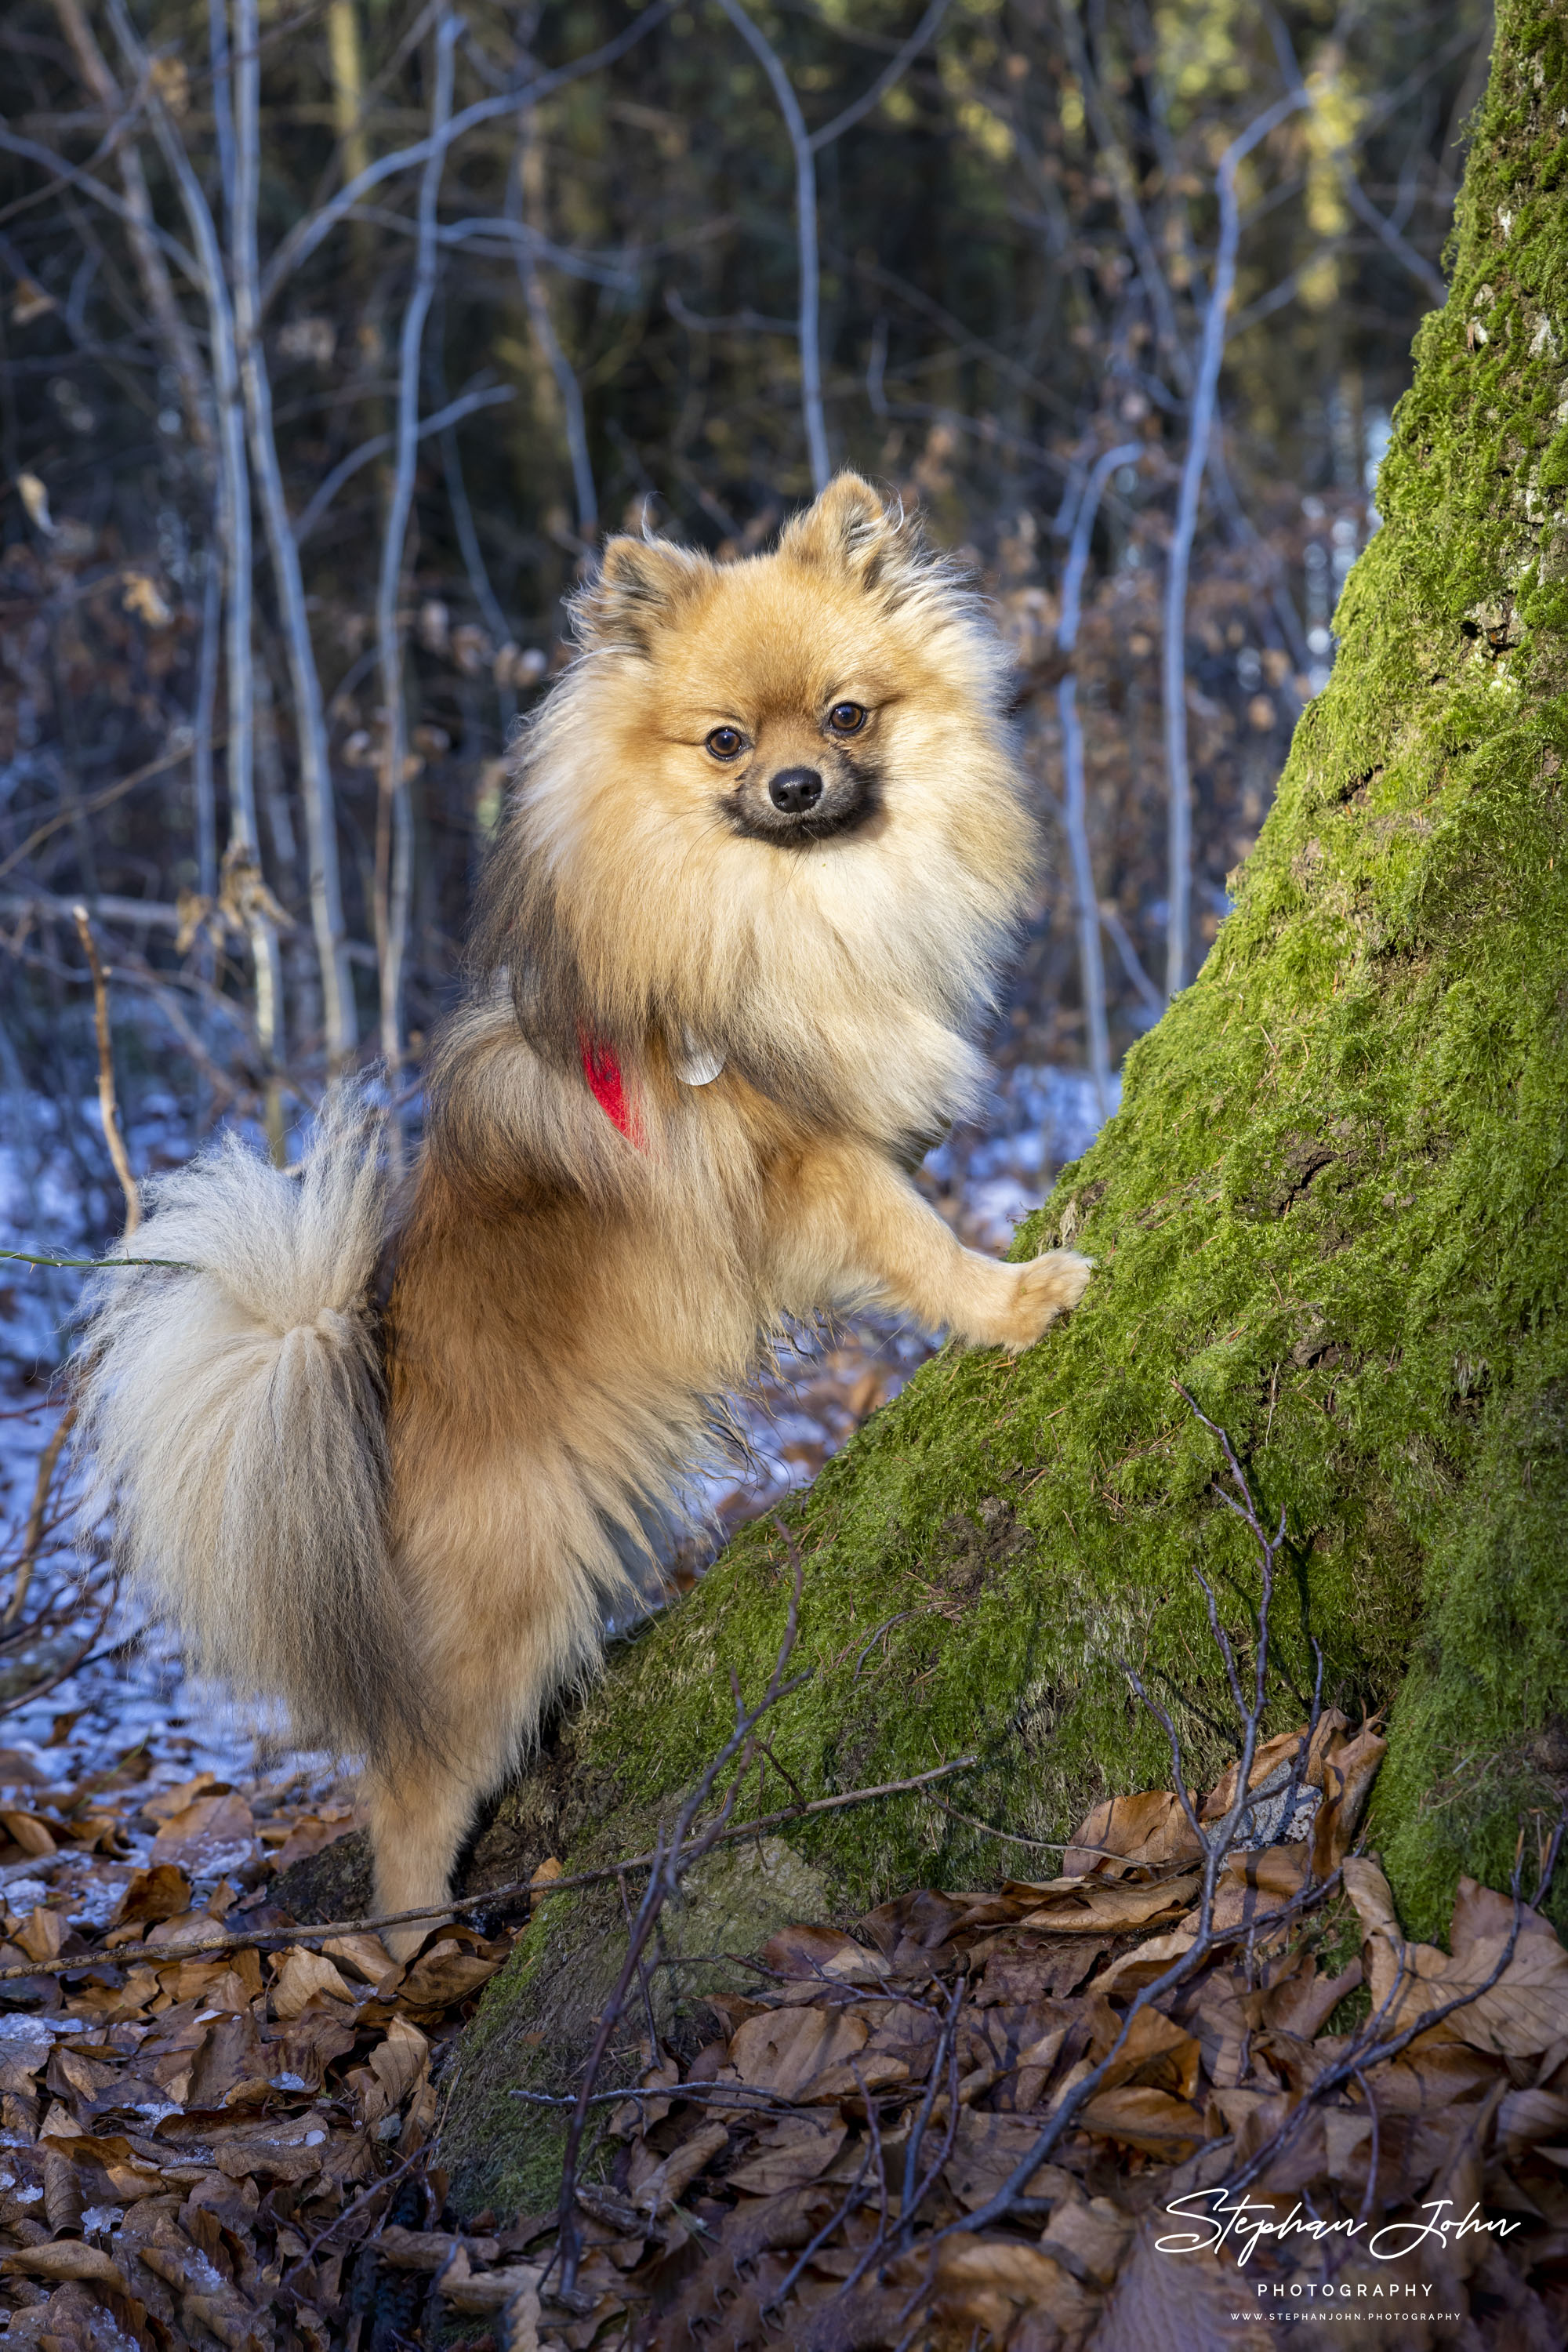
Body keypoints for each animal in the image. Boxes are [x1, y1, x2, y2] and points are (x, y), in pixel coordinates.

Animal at [76, 468, 1091, 1938]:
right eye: (724, 743)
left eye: (846, 716)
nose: (795, 783)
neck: (781, 902)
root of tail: (363, 1354)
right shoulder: (808, 1162)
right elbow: (917, 1241)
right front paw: (1016, 1301)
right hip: (506, 1601)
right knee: (411, 1795)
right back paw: (411, 1945)